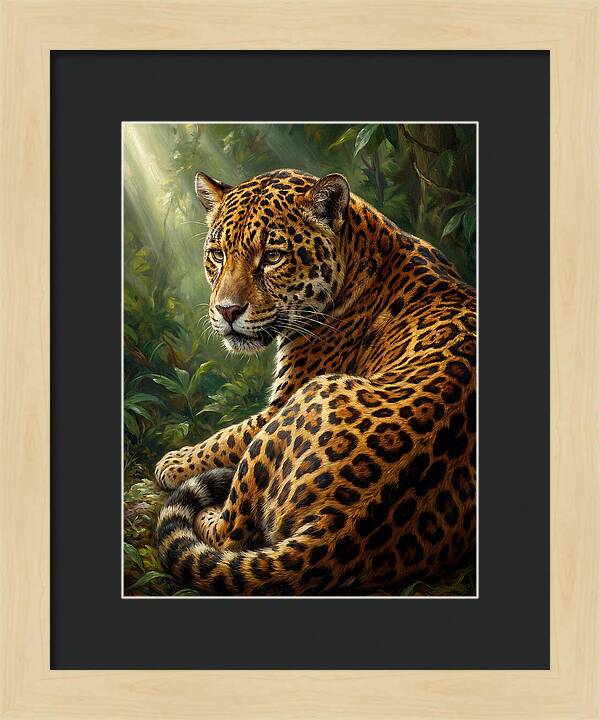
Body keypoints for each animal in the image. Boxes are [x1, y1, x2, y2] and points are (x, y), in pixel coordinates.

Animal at [155, 168, 476, 595]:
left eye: (273, 256)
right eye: (218, 254)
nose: (227, 310)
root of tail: (338, 529)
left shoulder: (281, 401)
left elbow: (227, 437)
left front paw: (174, 462)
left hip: (303, 401)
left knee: (230, 532)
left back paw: (208, 511)